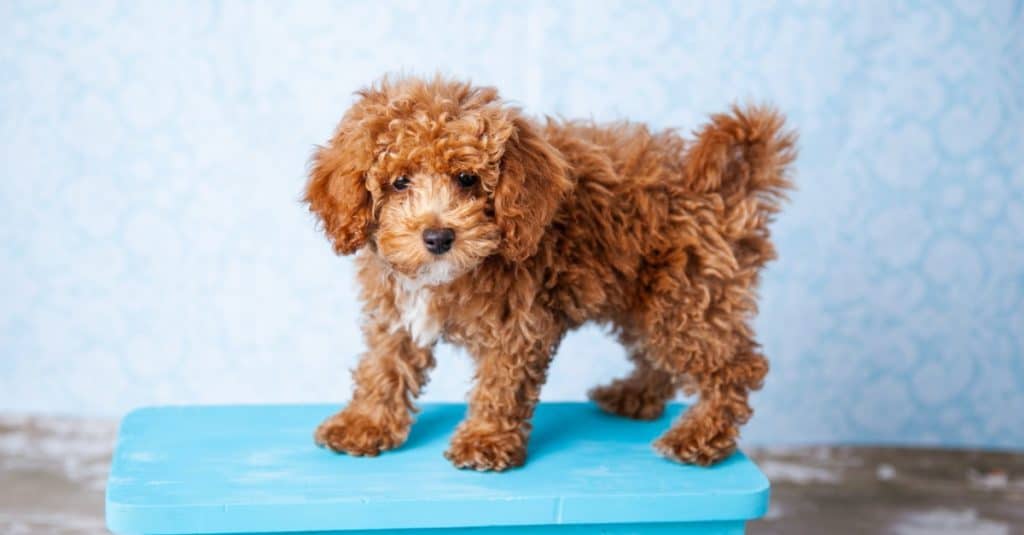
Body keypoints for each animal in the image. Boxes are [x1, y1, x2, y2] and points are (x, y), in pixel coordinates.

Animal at [307, 75, 794, 471]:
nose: (438, 236)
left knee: (735, 366)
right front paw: (365, 424)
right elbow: (384, 367)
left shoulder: (519, 323)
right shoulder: (397, 312)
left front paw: (485, 440)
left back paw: (699, 435)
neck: (446, 276)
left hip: (685, 296)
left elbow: (501, 384)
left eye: (466, 179)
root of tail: (723, 190)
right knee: (658, 357)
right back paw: (634, 396)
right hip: (649, 299)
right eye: (399, 182)